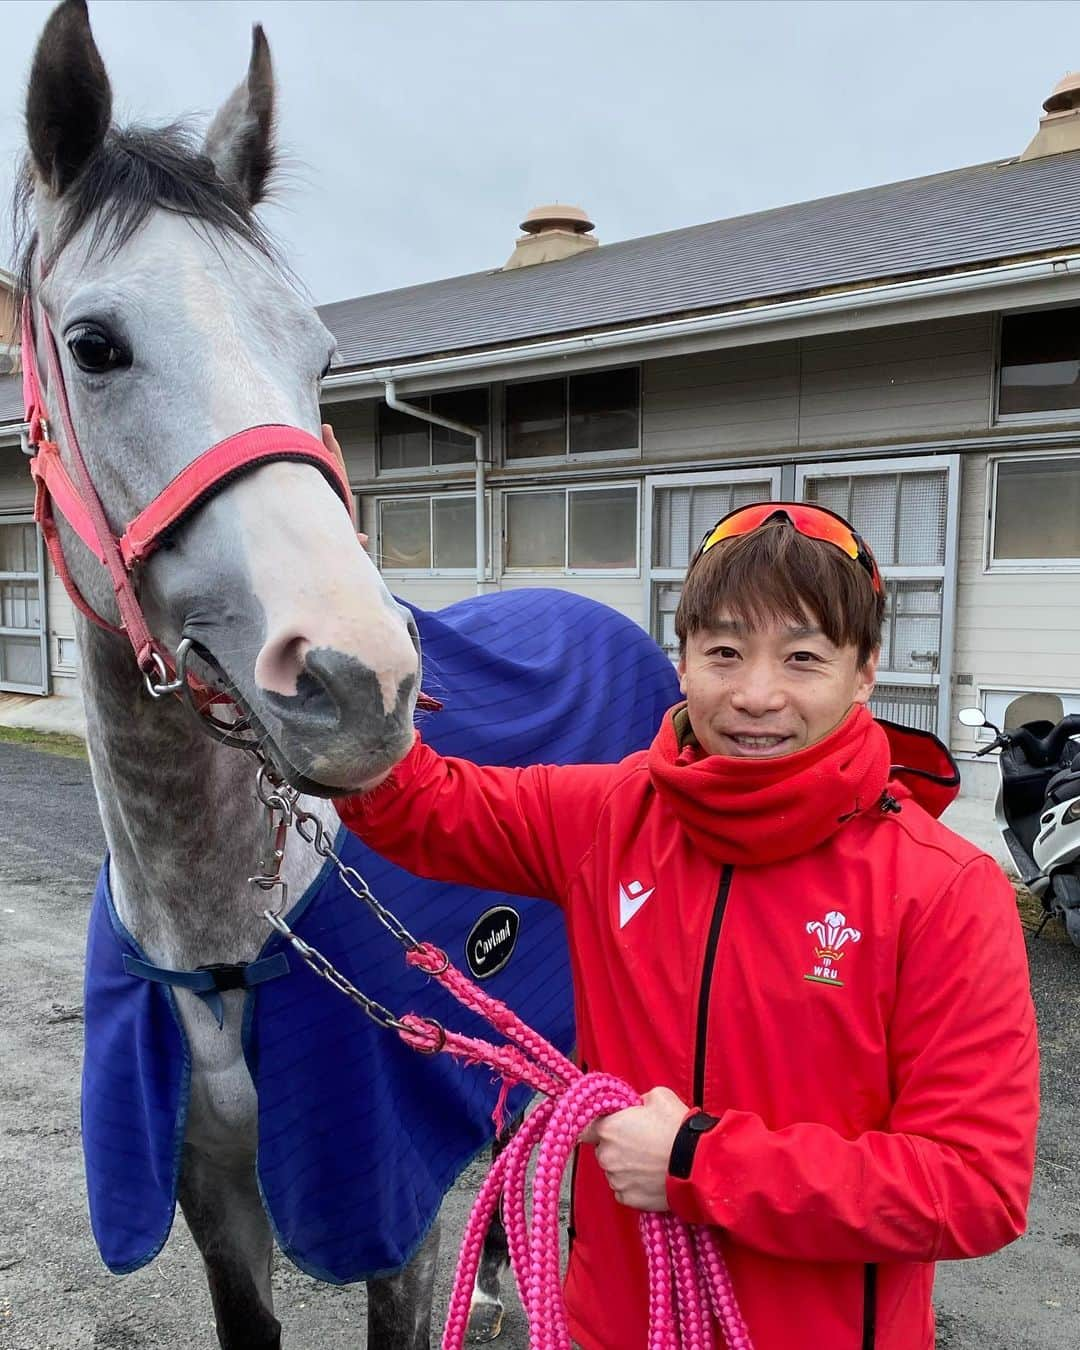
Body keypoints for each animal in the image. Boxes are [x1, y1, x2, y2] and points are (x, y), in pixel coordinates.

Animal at [16, 2, 513, 1350]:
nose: (360, 678)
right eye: (94, 345)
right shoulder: (214, 1209)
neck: (226, 931)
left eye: (322, 355)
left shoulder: (396, 1210)